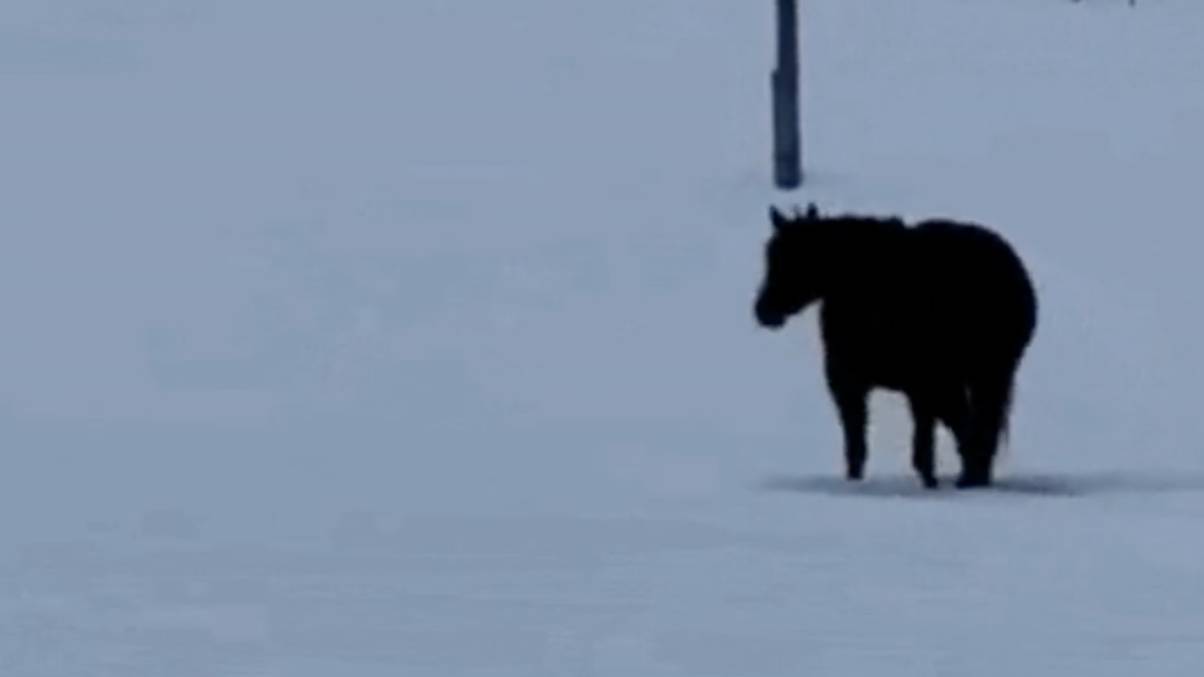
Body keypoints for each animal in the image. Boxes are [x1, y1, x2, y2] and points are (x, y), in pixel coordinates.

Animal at [754, 203, 1038, 489]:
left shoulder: (915, 385)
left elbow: (918, 444)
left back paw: (970, 476)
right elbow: (859, 445)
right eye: (770, 256)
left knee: (974, 428)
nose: (763, 312)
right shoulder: (860, 384)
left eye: (795, 258)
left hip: (978, 378)